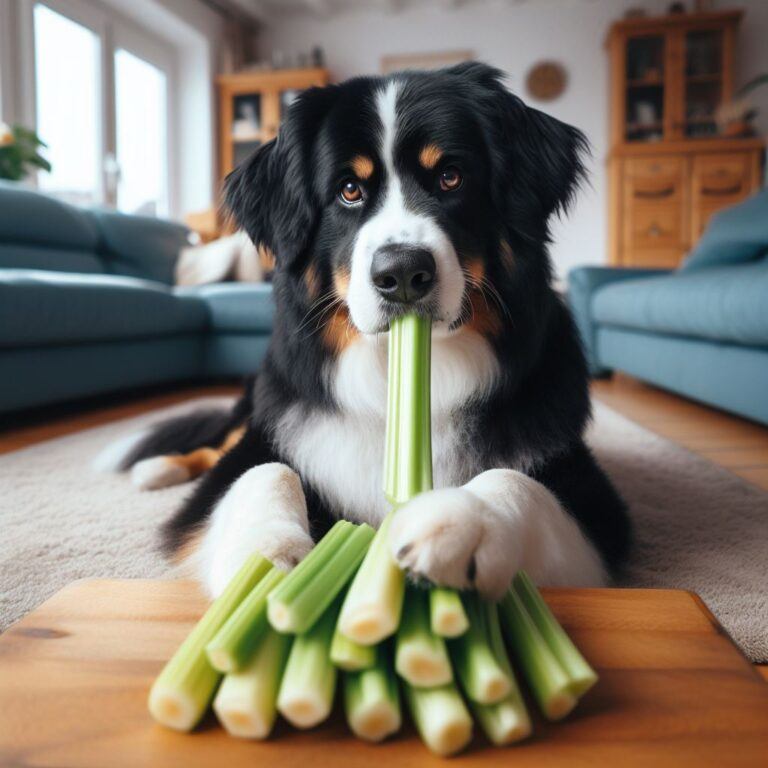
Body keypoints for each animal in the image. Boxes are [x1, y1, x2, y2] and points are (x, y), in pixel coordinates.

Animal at [102, 61, 632, 600]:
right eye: (349, 190)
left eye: (451, 177)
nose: (402, 272)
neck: (405, 379)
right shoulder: (270, 440)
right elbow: (263, 469)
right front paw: (268, 561)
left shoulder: (593, 501)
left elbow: (515, 481)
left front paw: (461, 522)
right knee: (219, 441)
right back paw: (157, 467)